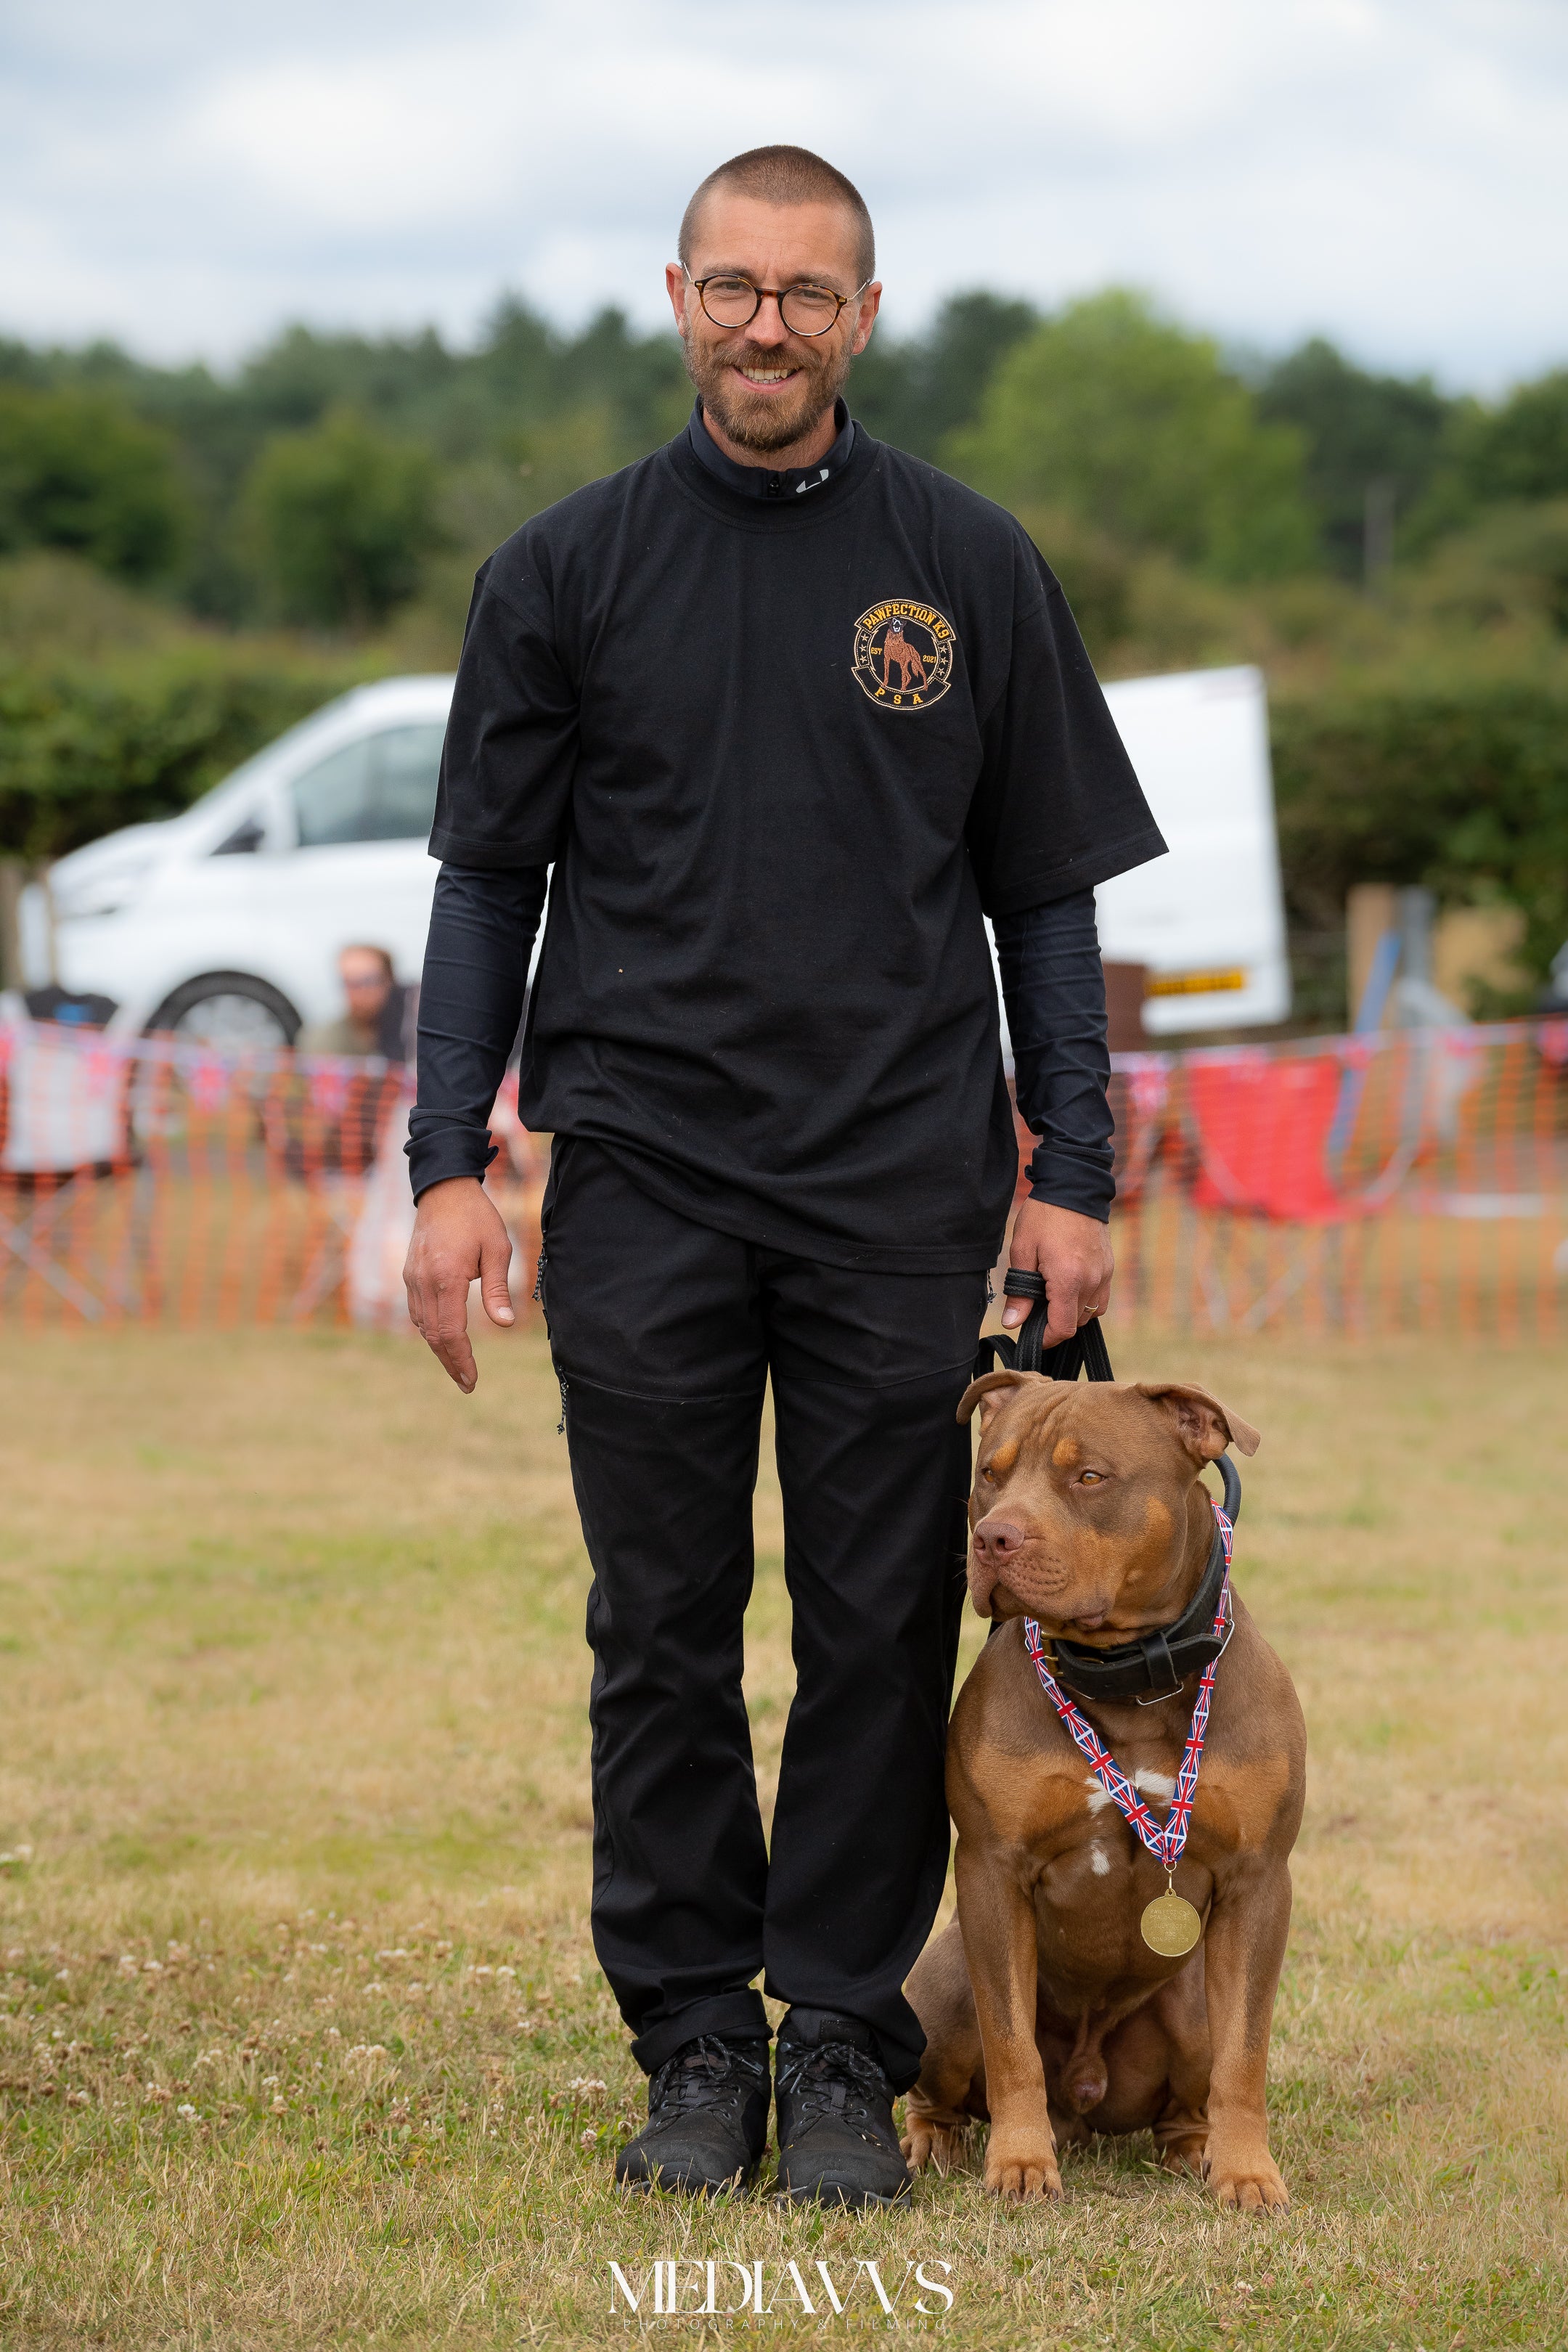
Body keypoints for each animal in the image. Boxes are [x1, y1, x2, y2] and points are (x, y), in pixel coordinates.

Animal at [902, 1373, 1307, 2210]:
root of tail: (1083, 2101)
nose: (993, 1539)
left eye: (1089, 1477)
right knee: (945, 2084)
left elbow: (1245, 2055)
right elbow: (1011, 2042)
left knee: (1195, 2086)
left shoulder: (1259, 1882)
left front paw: (1248, 2173)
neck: (1130, 1678)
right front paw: (1020, 2165)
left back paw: (1196, 2149)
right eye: (989, 1473)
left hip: (1191, 2008)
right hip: (945, 1991)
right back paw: (935, 2141)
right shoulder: (992, 1868)